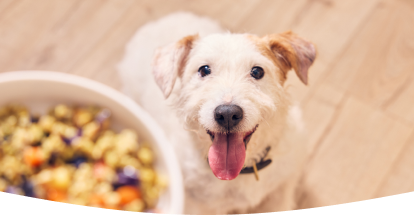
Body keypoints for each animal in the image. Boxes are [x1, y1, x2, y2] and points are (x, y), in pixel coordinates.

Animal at [118, 12, 316, 215]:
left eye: (257, 71)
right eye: (204, 69)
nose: (227, 114)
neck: (243, 169)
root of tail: (164, 19)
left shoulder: (282, 188)